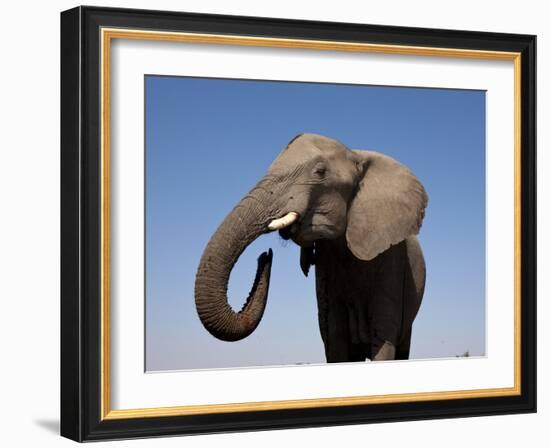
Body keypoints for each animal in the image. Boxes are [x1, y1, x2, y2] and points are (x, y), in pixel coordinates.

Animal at [196, 131, 430, 362]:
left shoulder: (394, 262)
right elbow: (335, 338)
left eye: (320, 172)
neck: (357, 156)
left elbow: (383, 338)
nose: (265, 256)